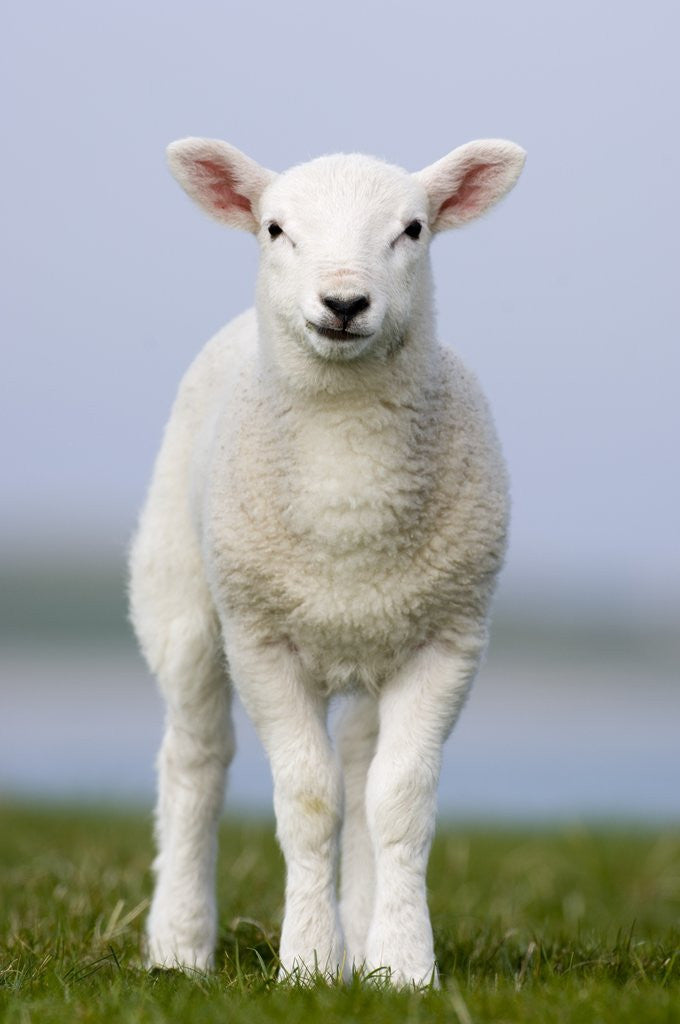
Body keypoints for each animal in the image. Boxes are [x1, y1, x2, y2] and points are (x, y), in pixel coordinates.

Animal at [128, 136, 525, 988]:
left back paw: (361, 939)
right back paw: (179, 945)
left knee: (362, 761)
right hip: (182, 596)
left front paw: (402, 965)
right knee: (196, 760)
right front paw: (307, 965)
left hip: (380, 632)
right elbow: (309, 801)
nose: (344, 303)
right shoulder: (261, 638)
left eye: (413, 229)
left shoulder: (447, 638)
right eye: (275, 229)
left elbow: (397, 801)